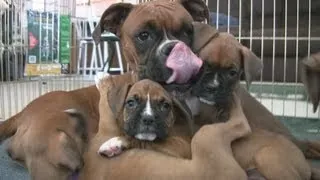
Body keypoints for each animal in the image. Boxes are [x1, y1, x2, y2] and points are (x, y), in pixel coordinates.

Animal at [79, 72, 251, 179]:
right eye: (131, 103)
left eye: (165, 106)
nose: (148, 119)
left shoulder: (180, 146)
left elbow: (141, 140)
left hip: (204, 135)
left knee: (242, 123)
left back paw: (234, 97)